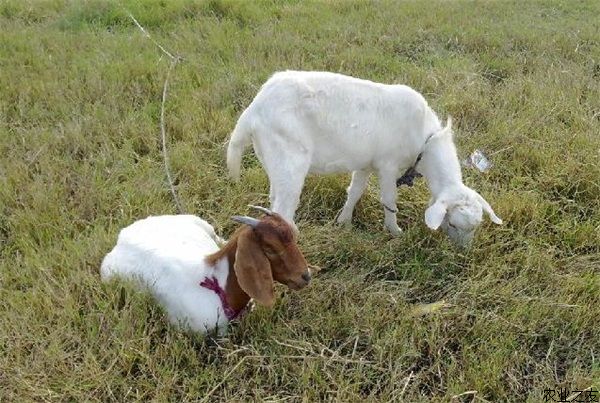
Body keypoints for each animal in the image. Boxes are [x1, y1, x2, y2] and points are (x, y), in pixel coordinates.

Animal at [226, 70, 502, 246]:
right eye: (453, 224)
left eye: (476, 227)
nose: (463, 252)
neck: (425, 141)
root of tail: (253, 110)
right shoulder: (388, 165)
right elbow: (389, 199)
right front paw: (394, 231)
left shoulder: (365, 164)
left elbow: (354, 191)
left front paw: (344, 222)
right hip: (289, 159)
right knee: (283, 209)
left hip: (273, 160)